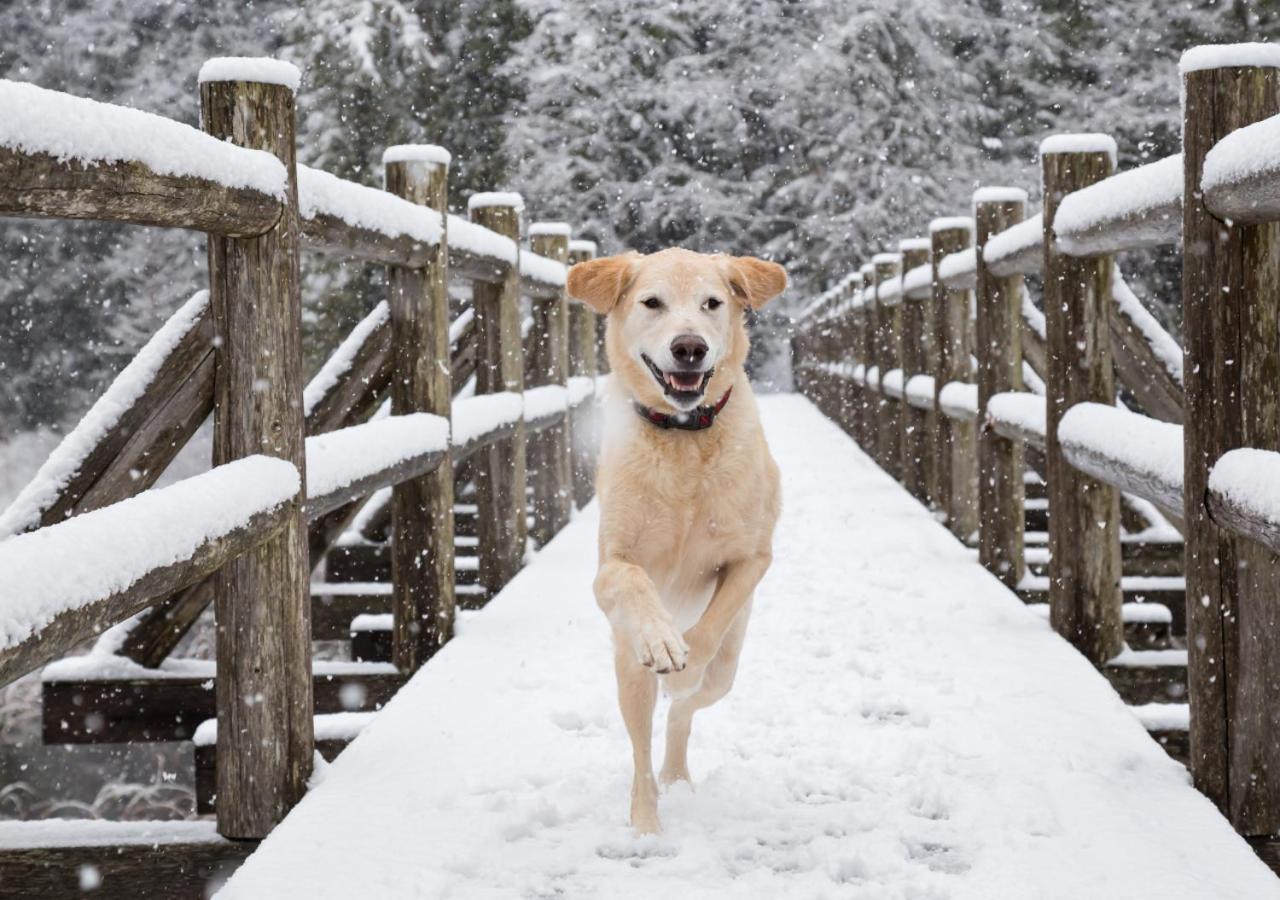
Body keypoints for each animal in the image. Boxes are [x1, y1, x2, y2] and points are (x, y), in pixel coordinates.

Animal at [568, 248, 783, 839]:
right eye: (652, 303)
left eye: (712, 302)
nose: (690, 347)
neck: (685, 436)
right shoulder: (609, 566)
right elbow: (632, 580)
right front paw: (663, 639)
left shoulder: (753, 558)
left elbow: (710, 623)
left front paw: (684, 659)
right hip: (627, 670)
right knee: (641, 746)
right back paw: (645, 821)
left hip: (729, 669)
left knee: (686, 710)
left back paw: (677, 768)